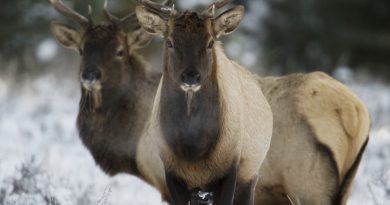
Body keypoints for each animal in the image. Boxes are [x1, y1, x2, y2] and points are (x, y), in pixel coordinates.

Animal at [137, 0, 274, 204]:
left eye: (210, 43)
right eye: (169, 42)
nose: (191, 77)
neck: (193, 152)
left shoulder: (231, 168)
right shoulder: (171, 172)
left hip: (251, 174)